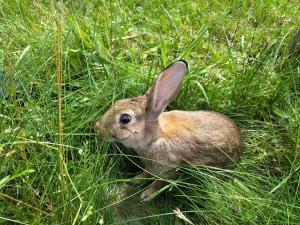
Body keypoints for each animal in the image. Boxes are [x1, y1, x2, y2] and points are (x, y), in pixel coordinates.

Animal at [96, 60, 244, 202]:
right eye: (117, 102)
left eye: (125, 119)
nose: (98, 128)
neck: (155, 138)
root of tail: (240, 143)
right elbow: (146, 173)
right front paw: (136, 179)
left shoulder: (169, 169)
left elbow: (160, 182)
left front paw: (147, 194)